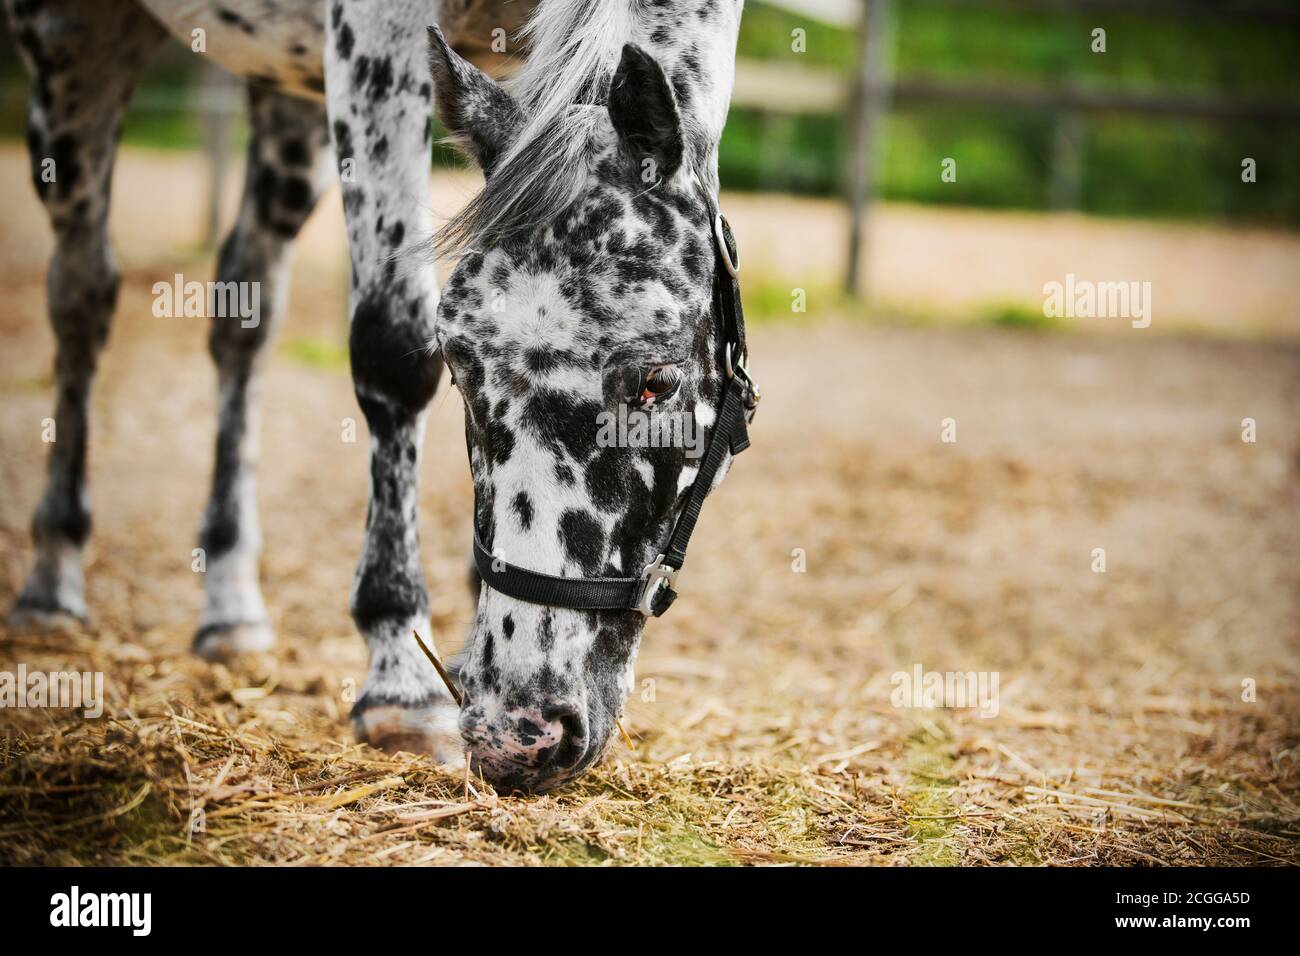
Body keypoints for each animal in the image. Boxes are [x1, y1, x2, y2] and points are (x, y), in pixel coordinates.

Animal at [2, 0, 754, 790]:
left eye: (659, 380)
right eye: (456, 364)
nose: (520, 735)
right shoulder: (375, 33)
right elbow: (390, 348)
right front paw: (402, 677)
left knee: (245, 311)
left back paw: (231, 603)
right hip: (76, 50)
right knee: (82, 296)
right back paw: (53, 579)